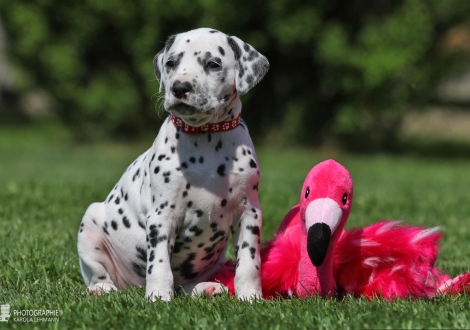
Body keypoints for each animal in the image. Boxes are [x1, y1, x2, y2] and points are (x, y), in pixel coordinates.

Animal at [77, 28, 268, 302]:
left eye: (213, 64)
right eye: (170, 63)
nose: (180, 87)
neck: (206, 136)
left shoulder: (249, 212)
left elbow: (249, 262)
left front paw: (250, 297)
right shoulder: (162, 216)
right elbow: (159, 264)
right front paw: (158, 297)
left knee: (188, 287)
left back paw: (206, 287)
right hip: (89, 227)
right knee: (98, 272)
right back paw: (102, 288)